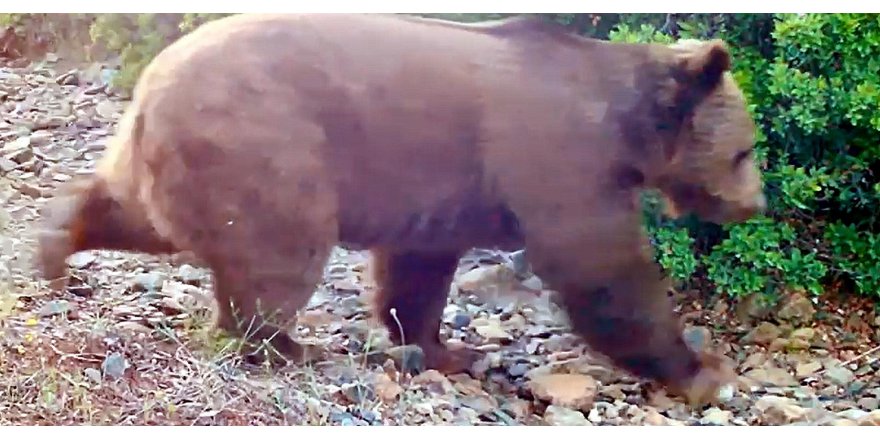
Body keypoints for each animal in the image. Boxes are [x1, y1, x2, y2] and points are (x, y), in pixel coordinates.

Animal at [32, 12, 764, 406]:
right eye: (745, 150)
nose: (754, 204)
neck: (623, 128)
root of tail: (150, 83)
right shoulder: (559, 159)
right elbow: (602, 268)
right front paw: (705, 371)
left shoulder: (444, 187)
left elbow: (419, 268)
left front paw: (447, 348)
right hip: (269, 142)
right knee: (279, 252)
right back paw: (287, 346)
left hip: (181, 155)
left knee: (137, 213)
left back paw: (53, 241)